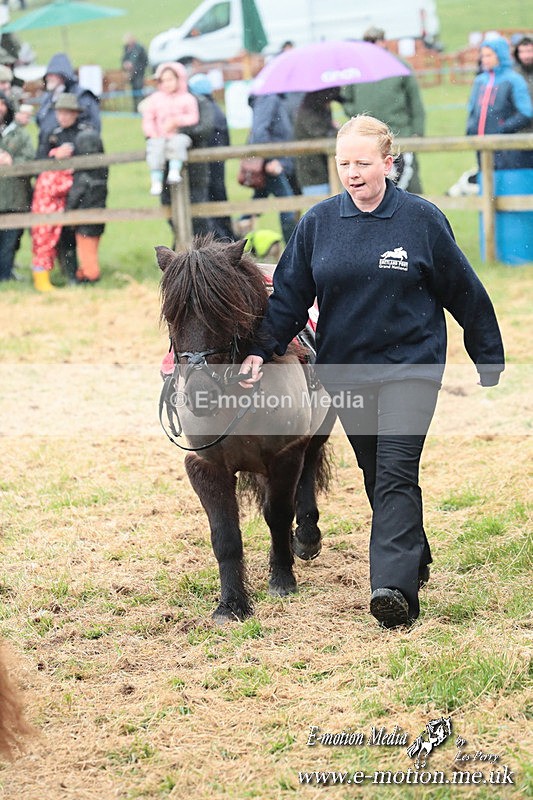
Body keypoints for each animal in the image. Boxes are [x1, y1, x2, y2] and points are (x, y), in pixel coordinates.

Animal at [157, 236, 334, 623]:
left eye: (224, 312)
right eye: (172, 316)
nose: (200, 394)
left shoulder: (285, 455)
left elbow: (278, 516)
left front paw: (282, 579)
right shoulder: (206, 467)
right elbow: (225, 536)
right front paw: (231, 603)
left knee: (309, 469)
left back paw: (307, 537)